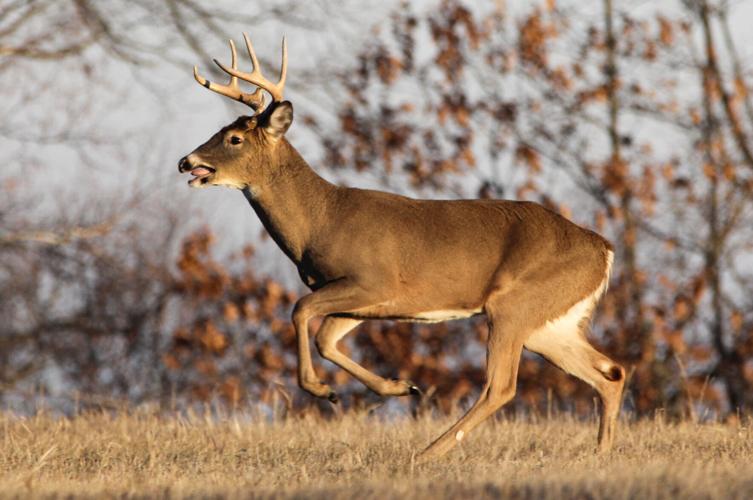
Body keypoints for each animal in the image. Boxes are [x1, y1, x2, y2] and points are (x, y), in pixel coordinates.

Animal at [178, 33, 625, 461]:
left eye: (234, 138)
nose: (187, 161)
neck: (320, 220)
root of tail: (603, 249)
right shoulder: (363, 300)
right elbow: (326, 338)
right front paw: (400, 386)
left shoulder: (374, 280)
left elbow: (300, 310)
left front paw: (323, 390)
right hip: (550, 321)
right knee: (611, 372)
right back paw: (601, 451)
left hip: (513, 305)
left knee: (501, 387)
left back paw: (427, 452)